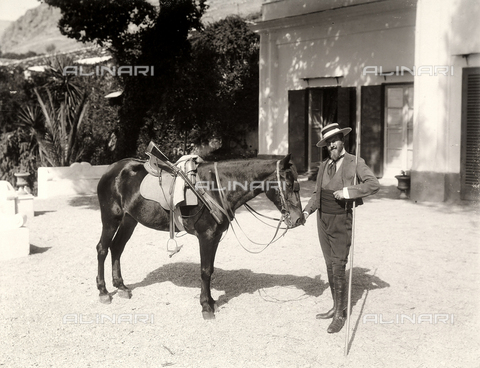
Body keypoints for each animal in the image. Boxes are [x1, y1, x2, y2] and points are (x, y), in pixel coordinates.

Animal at [95, 153, 304, 320]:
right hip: (111, 217)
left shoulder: (215, 237)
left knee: (117, 247)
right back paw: (103, 291)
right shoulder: (206, 236)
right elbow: (205, 271)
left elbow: (210, 269)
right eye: (288, 183)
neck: (216, 188)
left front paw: (211, 301)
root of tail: (112, 169)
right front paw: (206, 306)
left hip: (129, 219)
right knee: (102, 249)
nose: (299, 219)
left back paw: (121, 286)